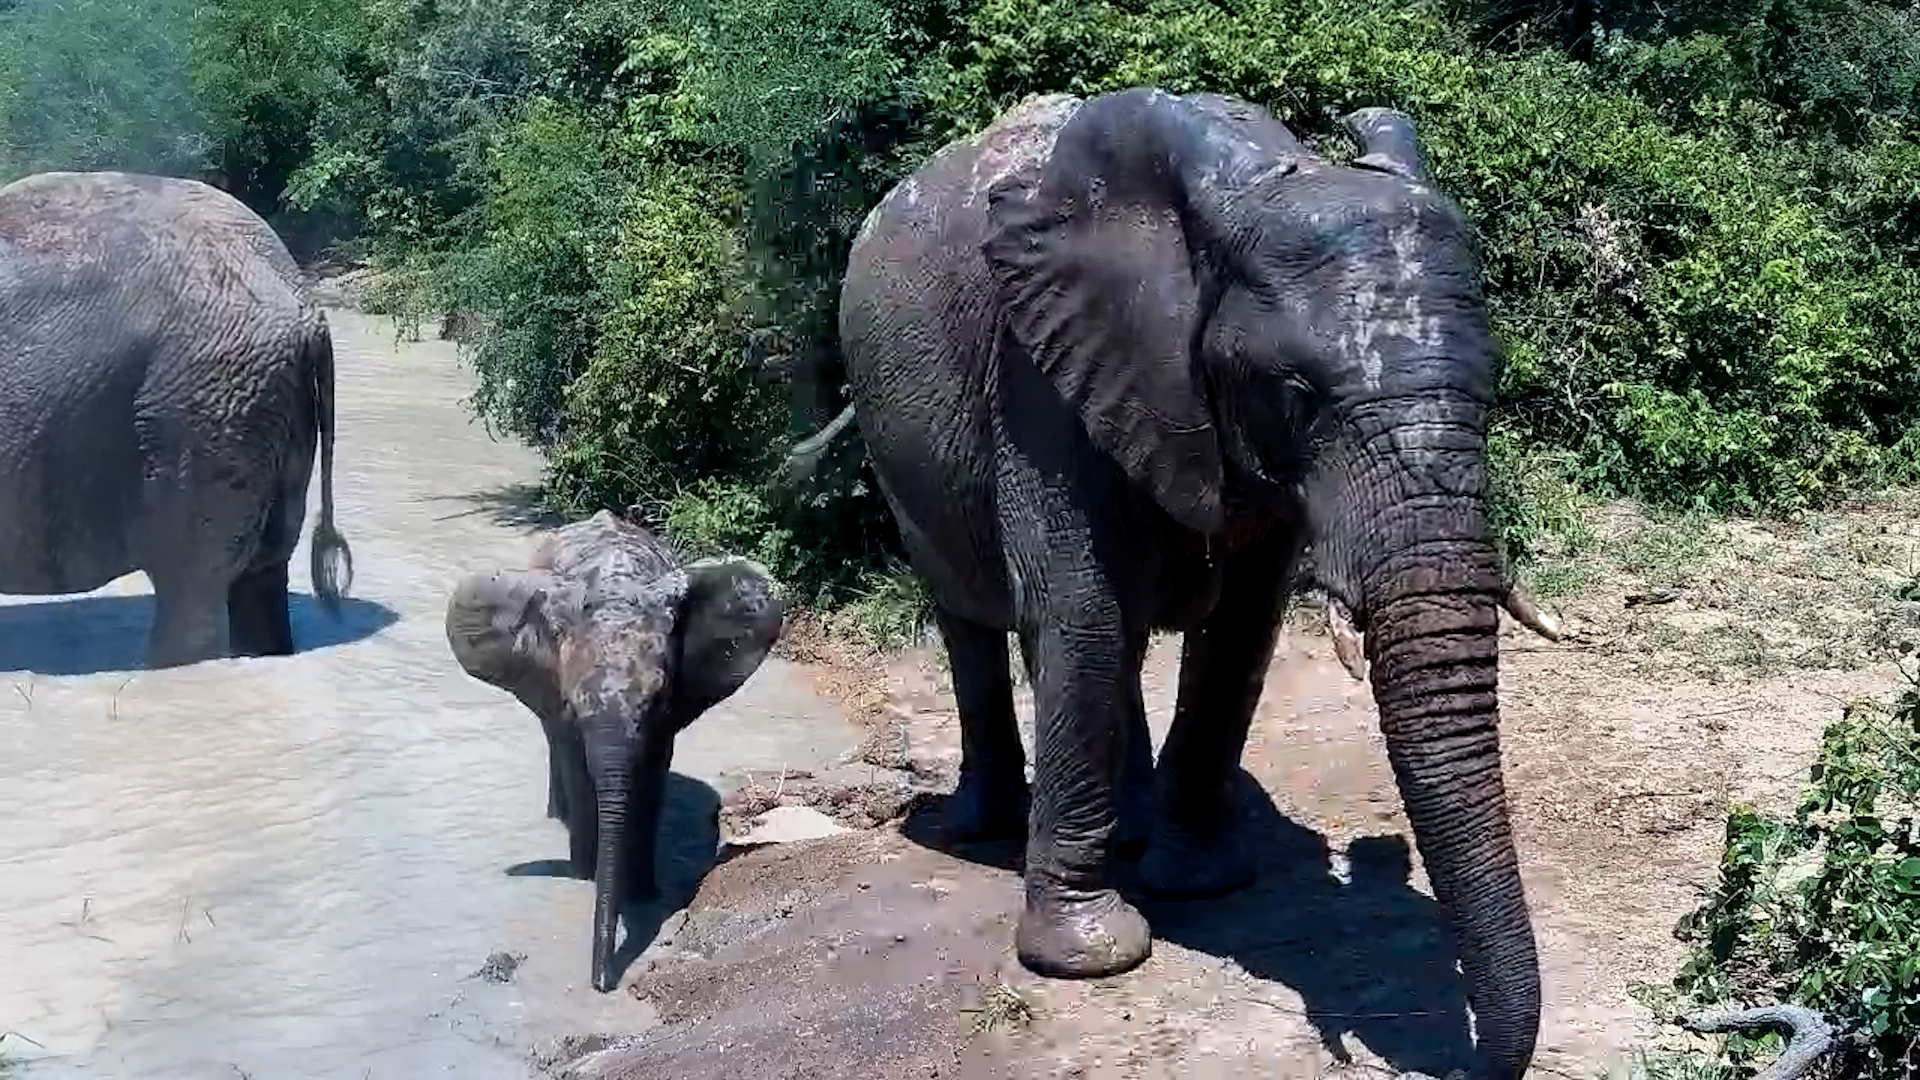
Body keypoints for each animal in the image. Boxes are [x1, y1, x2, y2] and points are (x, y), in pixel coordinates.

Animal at [444, 509, 786, 993]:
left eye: (658, 701)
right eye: (572, 704)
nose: (602, 984)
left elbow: (652, 774)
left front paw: (643, 893)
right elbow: (576, 766)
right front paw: (585, 876)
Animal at [830, 88, 1564, 1078]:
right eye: (1299, 396)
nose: (1463, 1063)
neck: (1249, 190)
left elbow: (1242, 629)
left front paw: (1198, 883)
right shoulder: (1041, 371)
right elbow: (1084, 610)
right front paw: (1091, 955)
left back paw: (1126, 832)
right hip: (893, 436)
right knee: (976, 619)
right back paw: (979, 828)